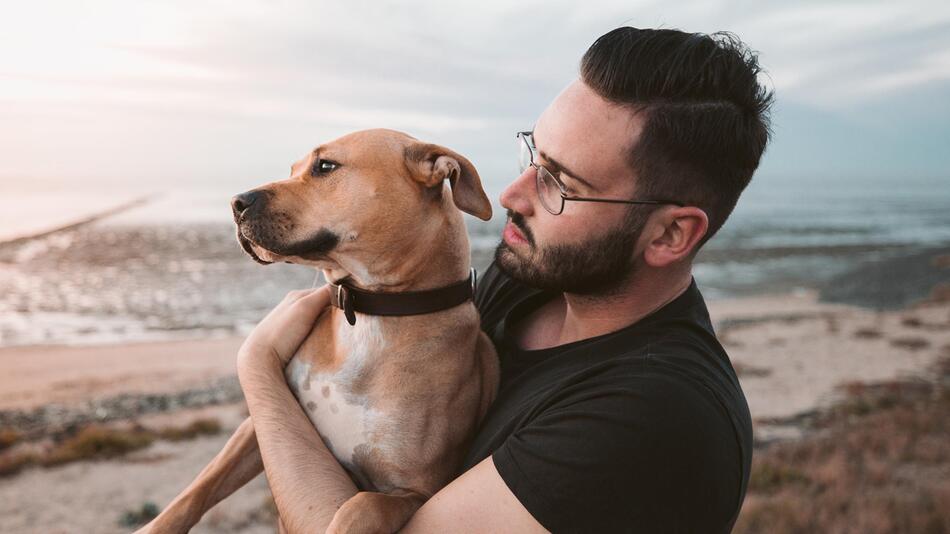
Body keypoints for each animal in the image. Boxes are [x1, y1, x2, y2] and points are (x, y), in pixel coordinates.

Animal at [140, 130, 502, 534]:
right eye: (293, 169)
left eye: (325, 166)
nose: (236, 202)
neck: (369, 315)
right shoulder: (264, 421)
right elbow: (201, 486)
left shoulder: (415, 492)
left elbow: (362, 507)